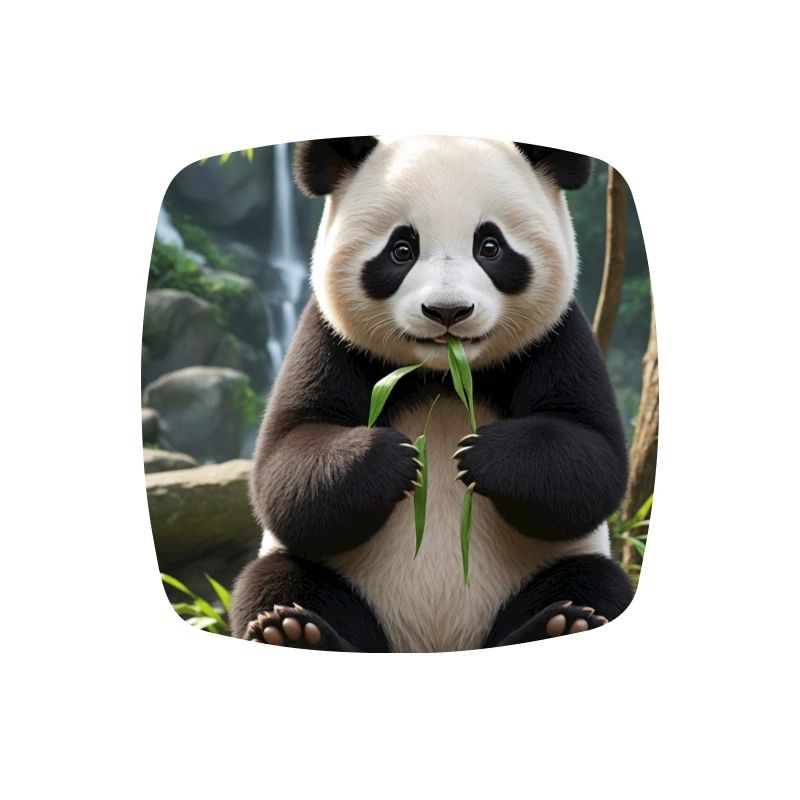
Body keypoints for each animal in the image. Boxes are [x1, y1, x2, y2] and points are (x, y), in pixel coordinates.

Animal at [230, 135, 634, 652]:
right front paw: (396, 458)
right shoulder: (327, 339)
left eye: (490, 246)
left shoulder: (558, 336)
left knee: (594, 580)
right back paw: (296, 632)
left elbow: (592, 459)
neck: (444, 376)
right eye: (401, 249)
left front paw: (480, 456)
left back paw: (559, 624)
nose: (448, 311)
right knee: (278, 578)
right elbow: (286, 467)